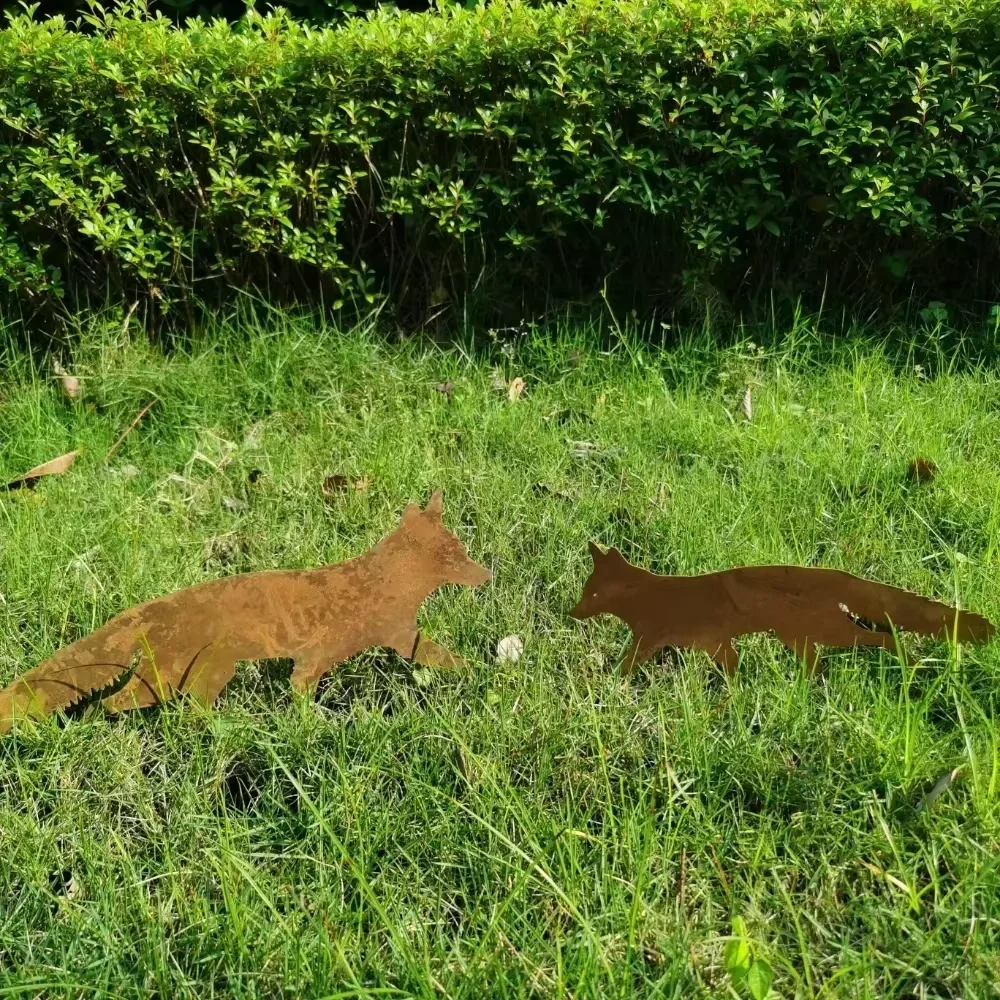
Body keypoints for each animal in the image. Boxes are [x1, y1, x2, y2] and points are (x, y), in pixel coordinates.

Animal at [0, 490, 491, 732]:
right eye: (455, 554)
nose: (486, 574)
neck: (379, 583)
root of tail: (149, 606)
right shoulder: (325, 656)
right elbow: (303, 694)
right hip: (176, 675)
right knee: (114, 703)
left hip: (197, 675)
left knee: (165, 706)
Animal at [570, 542, 995, 675]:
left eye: (593, 595)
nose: (573, 613)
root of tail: (831, 574)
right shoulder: (715, 643)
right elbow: (732, 668)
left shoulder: (652, 640)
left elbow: (626, 665)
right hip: (799, 638)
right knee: (820, 662)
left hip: (829, 633)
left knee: (886, 638)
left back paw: (909, 664)